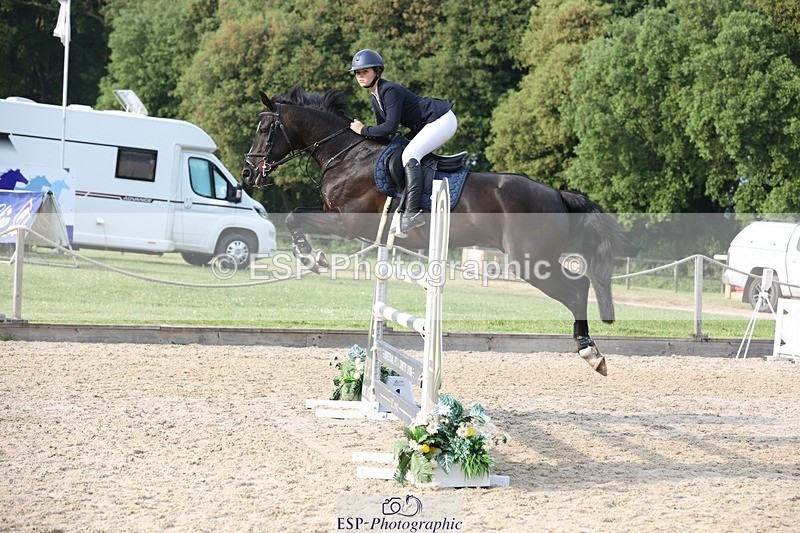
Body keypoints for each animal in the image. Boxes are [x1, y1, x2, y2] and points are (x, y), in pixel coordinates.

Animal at [242, 84, 625, 375]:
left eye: (264, 130)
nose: (248, 173)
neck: (346, 155)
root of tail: (557, 194)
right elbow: (295, 216)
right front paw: (312, 256)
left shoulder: (348, 222)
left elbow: (294, 217)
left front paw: (312, 258)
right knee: (579, 286)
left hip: (530, 260)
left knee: (576, 289)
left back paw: (591, 353)